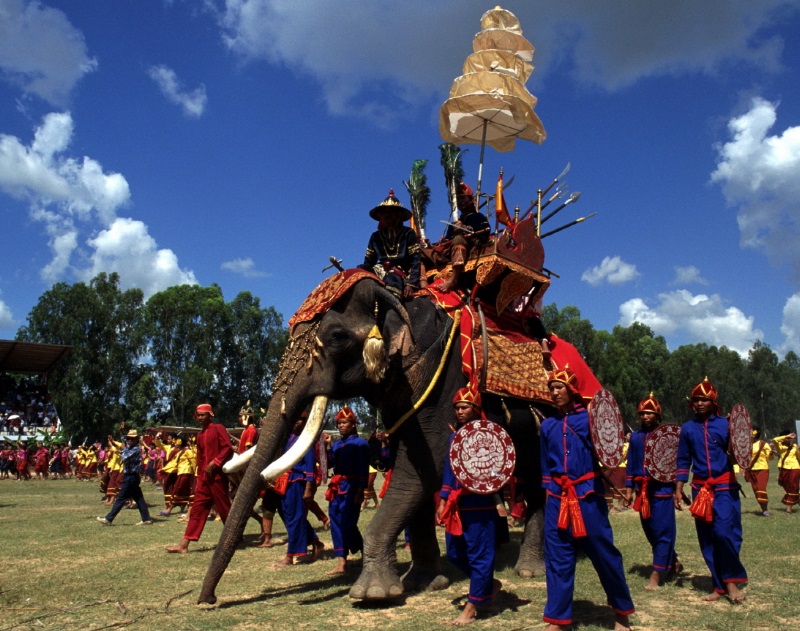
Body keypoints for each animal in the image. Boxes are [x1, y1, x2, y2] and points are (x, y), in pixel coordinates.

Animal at [198, 272, 556, 608]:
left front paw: (373, 594)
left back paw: (529, 570)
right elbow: (414, 467)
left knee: (538, 481)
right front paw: (424, 582)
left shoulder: (445, 376)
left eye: (337, 337)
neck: (398, 296)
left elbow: (429, 461)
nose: (209, 600)